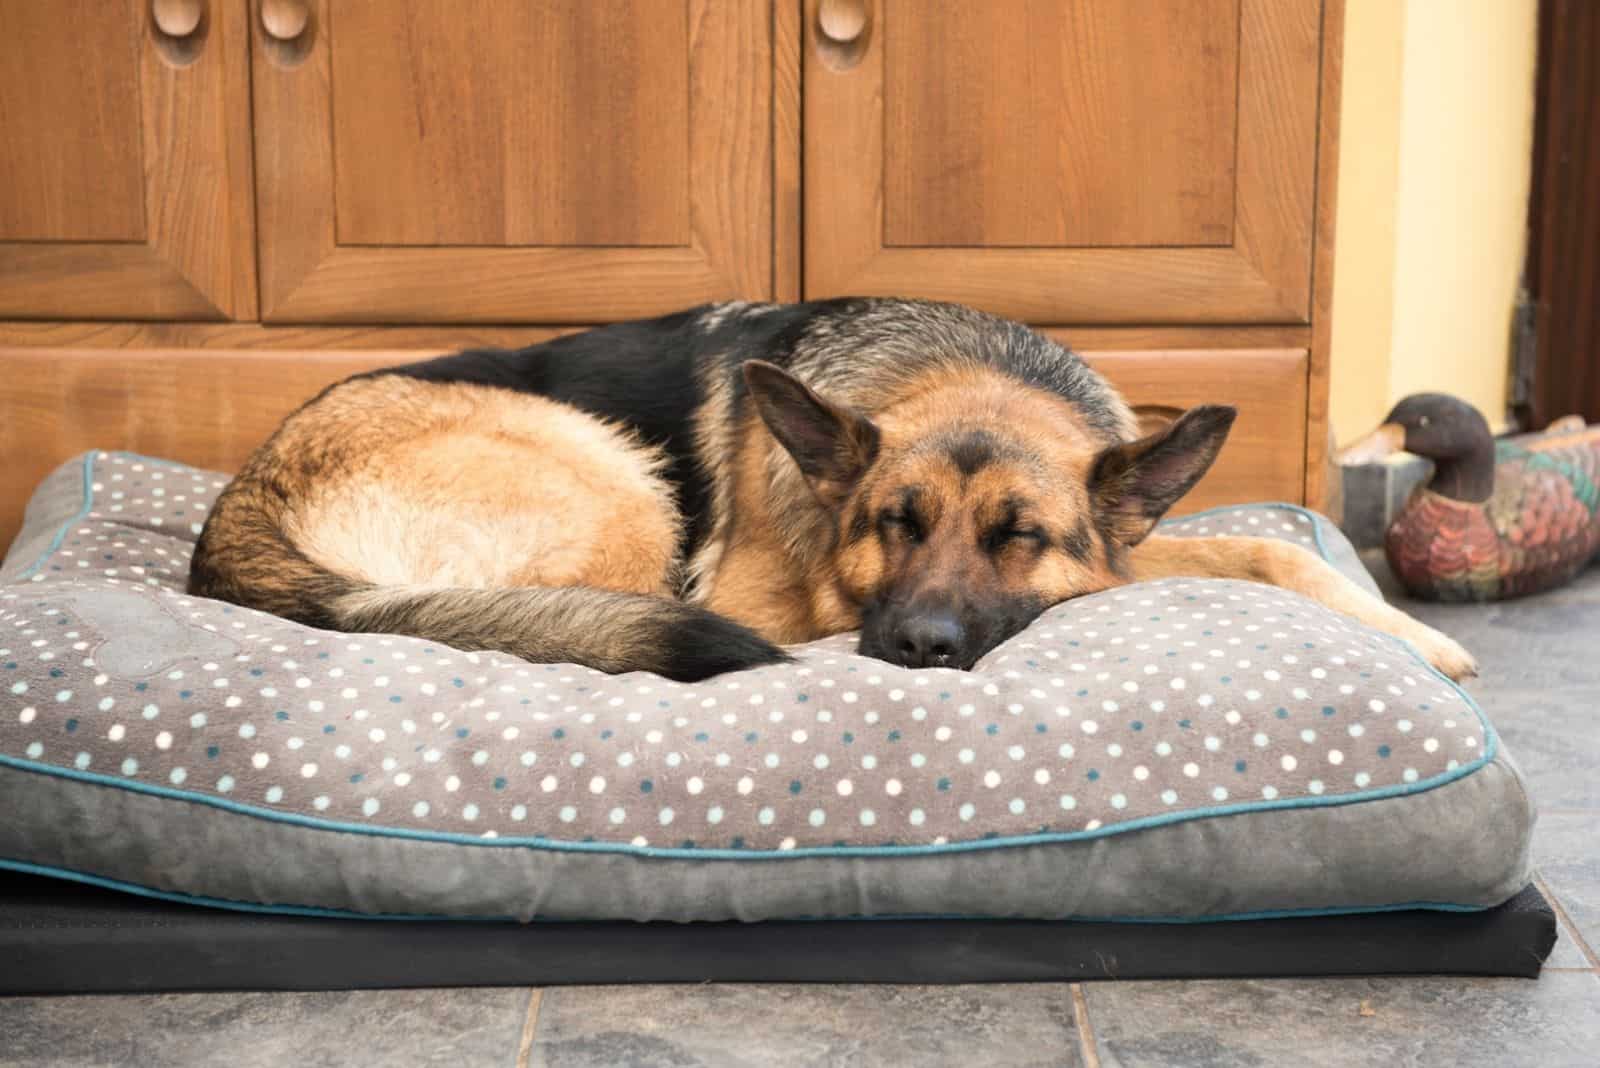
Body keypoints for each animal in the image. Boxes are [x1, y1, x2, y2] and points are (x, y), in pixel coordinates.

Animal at [190, 300, 1472, 684]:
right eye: (891, 525)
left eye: (1019, 536)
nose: (918, 648)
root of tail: (242, 498)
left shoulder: (1115, 553)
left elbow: (1275, 548)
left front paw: (1411, 638)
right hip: (618, 486)